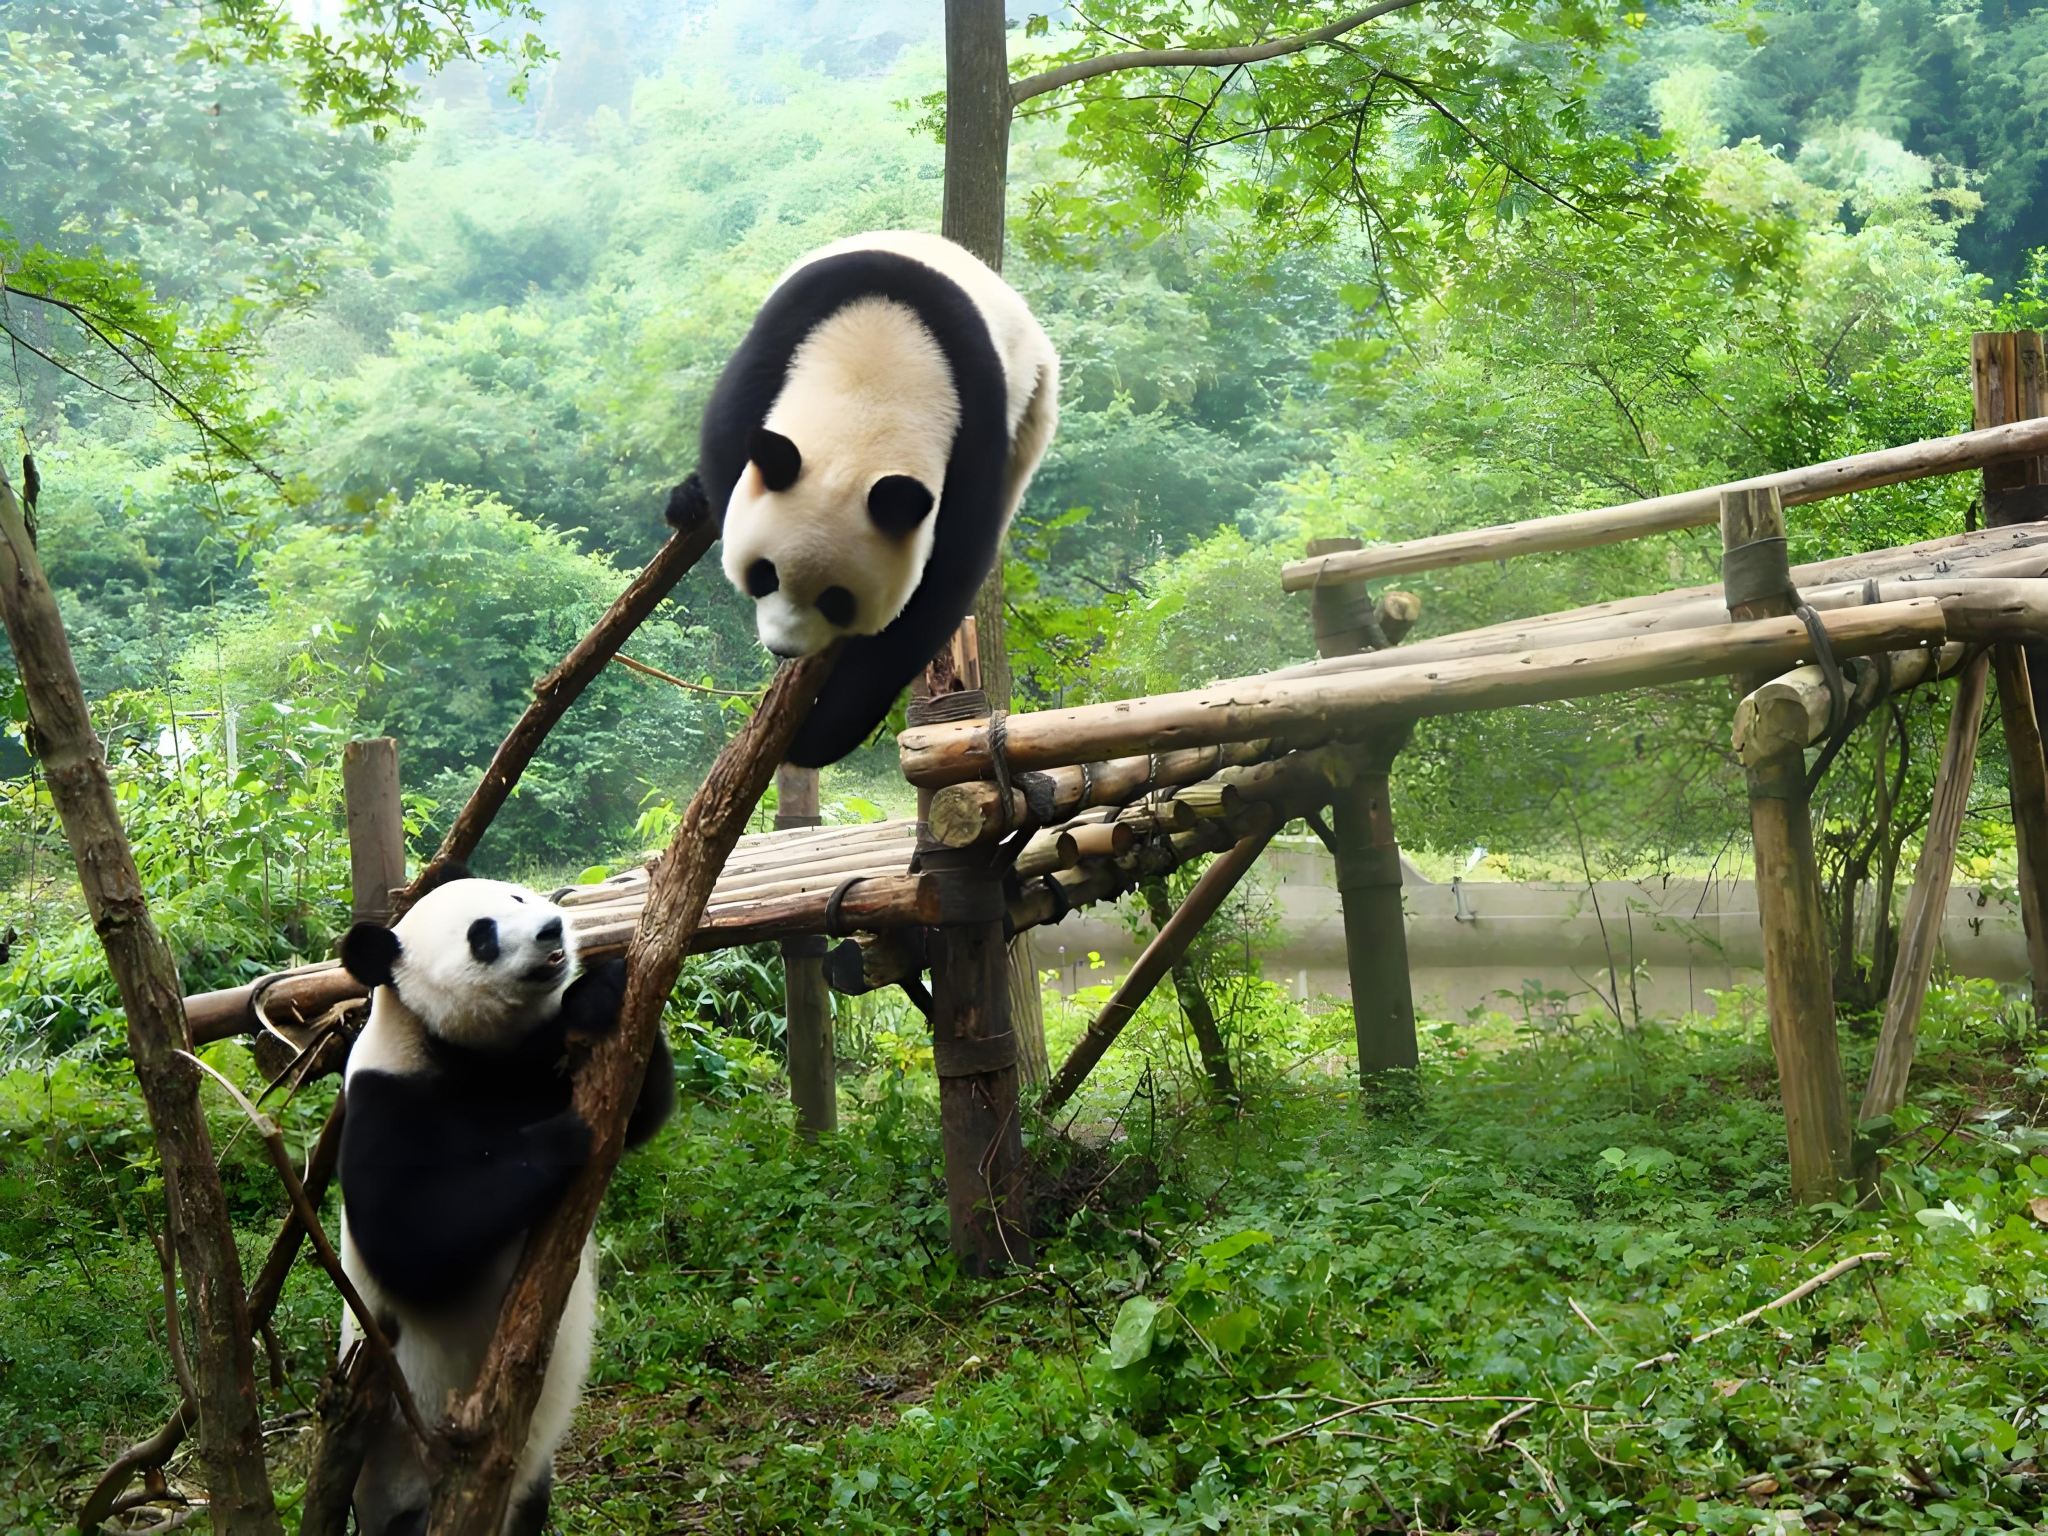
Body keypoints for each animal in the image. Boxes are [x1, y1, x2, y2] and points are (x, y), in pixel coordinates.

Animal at [335, 867, 676, 1536]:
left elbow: (637, 1110)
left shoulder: (533, 1066)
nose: (550, 929)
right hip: (400, 1466)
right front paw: (559, 1140)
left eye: (518, 896)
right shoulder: (384, 1101)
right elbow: (405, 1239)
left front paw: (599, 990)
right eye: (483, 936)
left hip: (530, 1482)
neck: (455, 1050)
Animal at [671, 229, 1060, 767]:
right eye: (764, 573)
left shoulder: (975, 435)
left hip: (1032, 414)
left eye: (837, 600)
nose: (783, 648)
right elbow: (730, 442)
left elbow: (929, 603)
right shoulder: (785, 333)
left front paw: (815, 735)